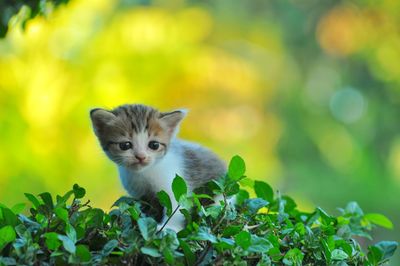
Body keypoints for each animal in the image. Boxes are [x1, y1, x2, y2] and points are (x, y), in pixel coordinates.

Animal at [91, 104, 228, 231]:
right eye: (125, 145)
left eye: (154, 145)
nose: (141, 157)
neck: (144, 173)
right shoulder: (140, 195)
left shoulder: (175, 187)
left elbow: (175, 209)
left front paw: (169, 227)